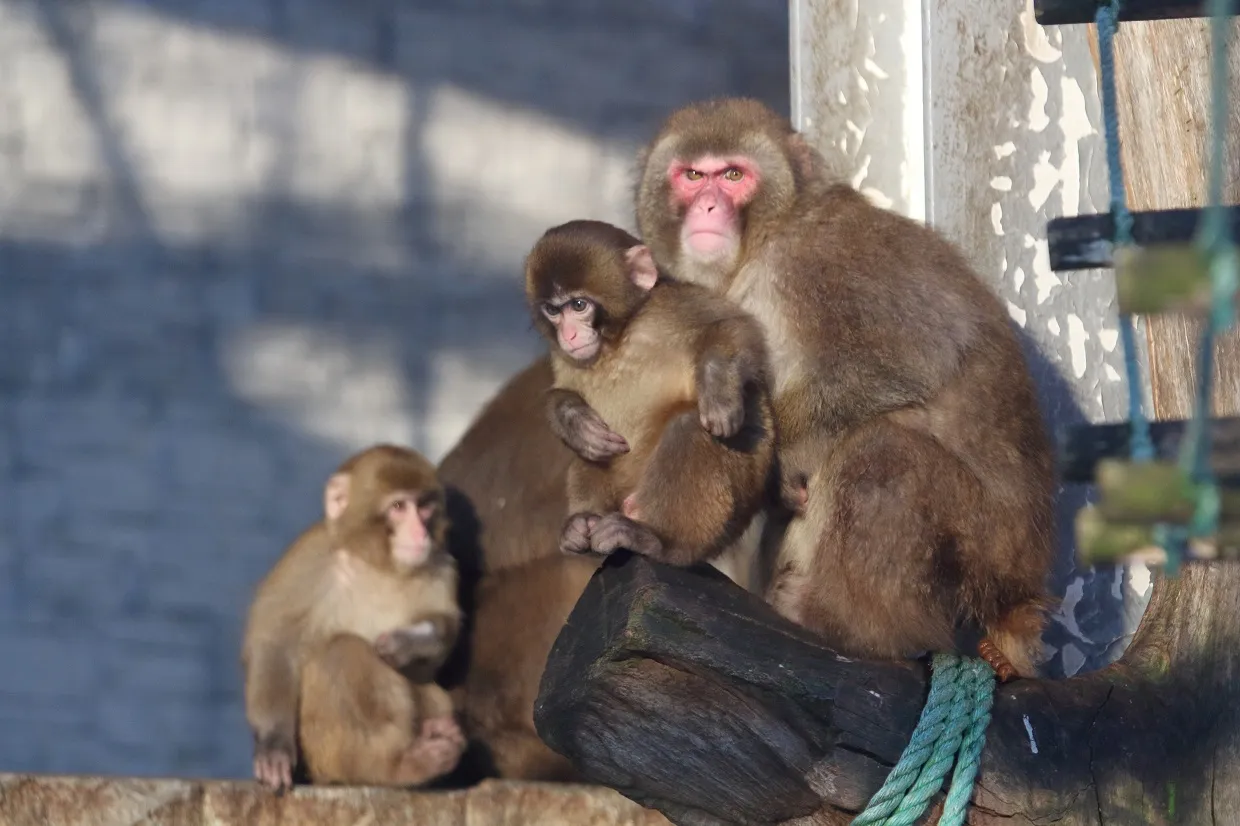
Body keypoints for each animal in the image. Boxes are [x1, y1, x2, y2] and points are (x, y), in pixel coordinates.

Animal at [241, 441, 466, 788]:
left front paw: (409, 640)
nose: (420, 533)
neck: (377, 564)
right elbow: (276, 644)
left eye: (424, 506)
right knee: (342, 653)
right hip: (324, 757)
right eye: (398, 506)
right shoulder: (310, 557)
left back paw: (439, 735)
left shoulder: (441, 566)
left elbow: (438, 647)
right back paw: (395, 766)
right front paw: (273, 745)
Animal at [523, 218, 773, 565]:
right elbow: (561, 392)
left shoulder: (671, 306)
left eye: (578, 305)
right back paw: (583, 524)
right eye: (552, 310)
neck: (619, 337)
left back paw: (661, 541)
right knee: (588, 454)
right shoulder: (562, 354)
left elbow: (735, 328)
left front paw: (718, 389)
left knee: (691, 426)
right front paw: (571, 418)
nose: (569, 334)